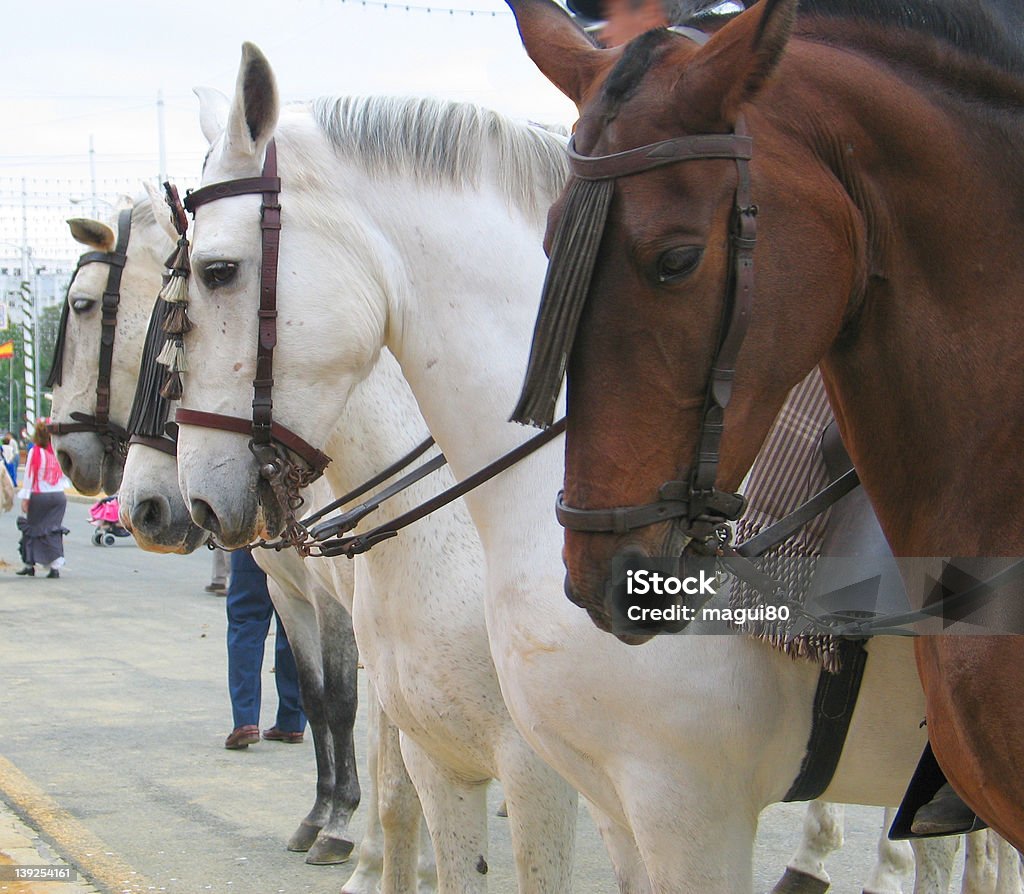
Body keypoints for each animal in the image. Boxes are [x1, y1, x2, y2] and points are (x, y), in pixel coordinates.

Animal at [48, 196, 436, 892]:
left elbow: (353, 706)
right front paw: (331, 818)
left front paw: (358, 838)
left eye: (84, 306)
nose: (64, 453)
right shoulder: (295, 590)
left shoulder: (352, 600)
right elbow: (319, 696)